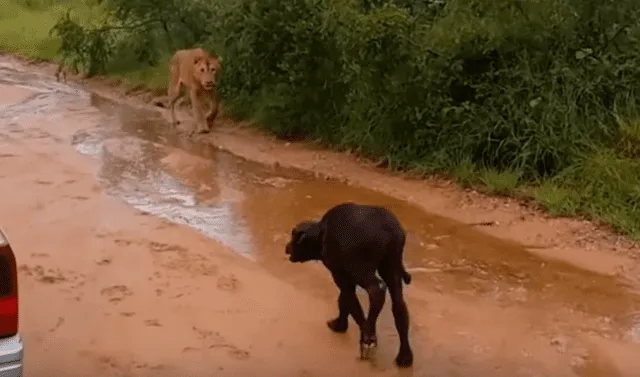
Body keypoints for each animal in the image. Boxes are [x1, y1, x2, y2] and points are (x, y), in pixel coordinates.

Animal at [286, 201, 416, 366]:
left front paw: (362, 332)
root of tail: (389, 229)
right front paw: (341, 324)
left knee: (376, 289)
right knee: (398, 300)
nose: (287, 246)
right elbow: (345, 299)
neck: (322, 232)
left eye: (293, 235)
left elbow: (348, 297)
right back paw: (405, 355)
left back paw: (368, 331)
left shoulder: (338, 271)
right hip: (393, 258)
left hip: (361, 266)